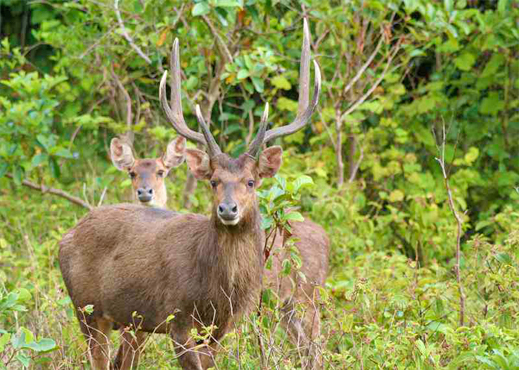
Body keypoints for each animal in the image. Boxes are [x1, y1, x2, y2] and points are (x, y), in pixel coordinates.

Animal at [60, 21, 320, 370]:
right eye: (213, 181)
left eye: (251, 181)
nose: (228, 209)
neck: (216, 292)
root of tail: (66, 237)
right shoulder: (178, 317)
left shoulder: (220, 328)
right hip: (87, 309)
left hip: (131, 322)